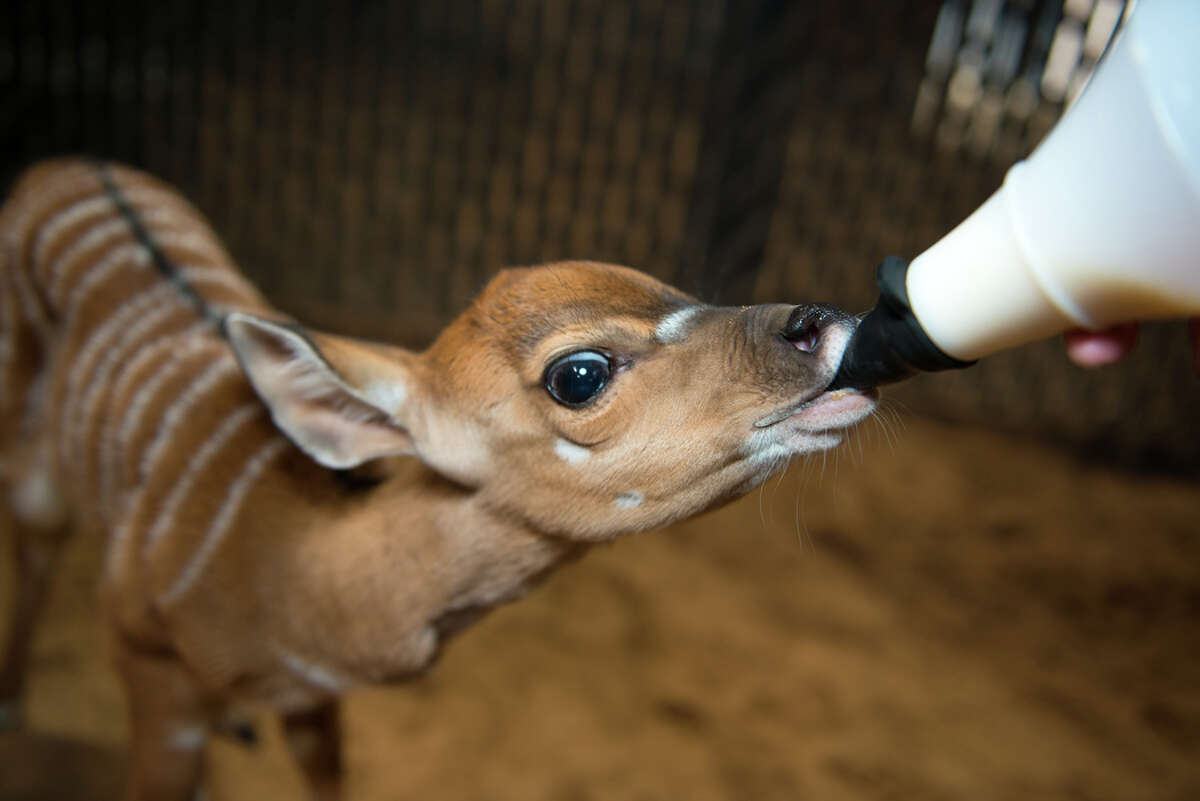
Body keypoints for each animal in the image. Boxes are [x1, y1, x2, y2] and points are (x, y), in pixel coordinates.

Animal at [4, 159, 878, 796]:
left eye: (676, 286)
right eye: (579, 374)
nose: (822, 322)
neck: (288, 568)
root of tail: (60, 166)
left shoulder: (315, 703)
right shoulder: (146, 661)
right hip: (35, 480)